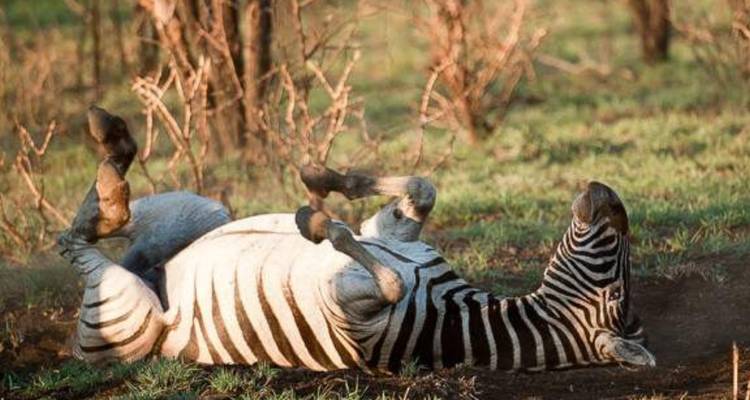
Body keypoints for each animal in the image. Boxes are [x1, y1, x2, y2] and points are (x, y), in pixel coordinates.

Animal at [57, 106, 655, 373]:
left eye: (617, 291)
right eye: (619, 271)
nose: (608, 192)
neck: (460, 311)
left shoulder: (355, 313)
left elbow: (386, 278)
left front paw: (317, 222)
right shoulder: (396, 234)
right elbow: (422, 187)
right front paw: (322, 176)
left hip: (133, 316)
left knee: (78, 244)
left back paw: (112, 168)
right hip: (206, 210)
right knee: (94, 227)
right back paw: (112, 142)